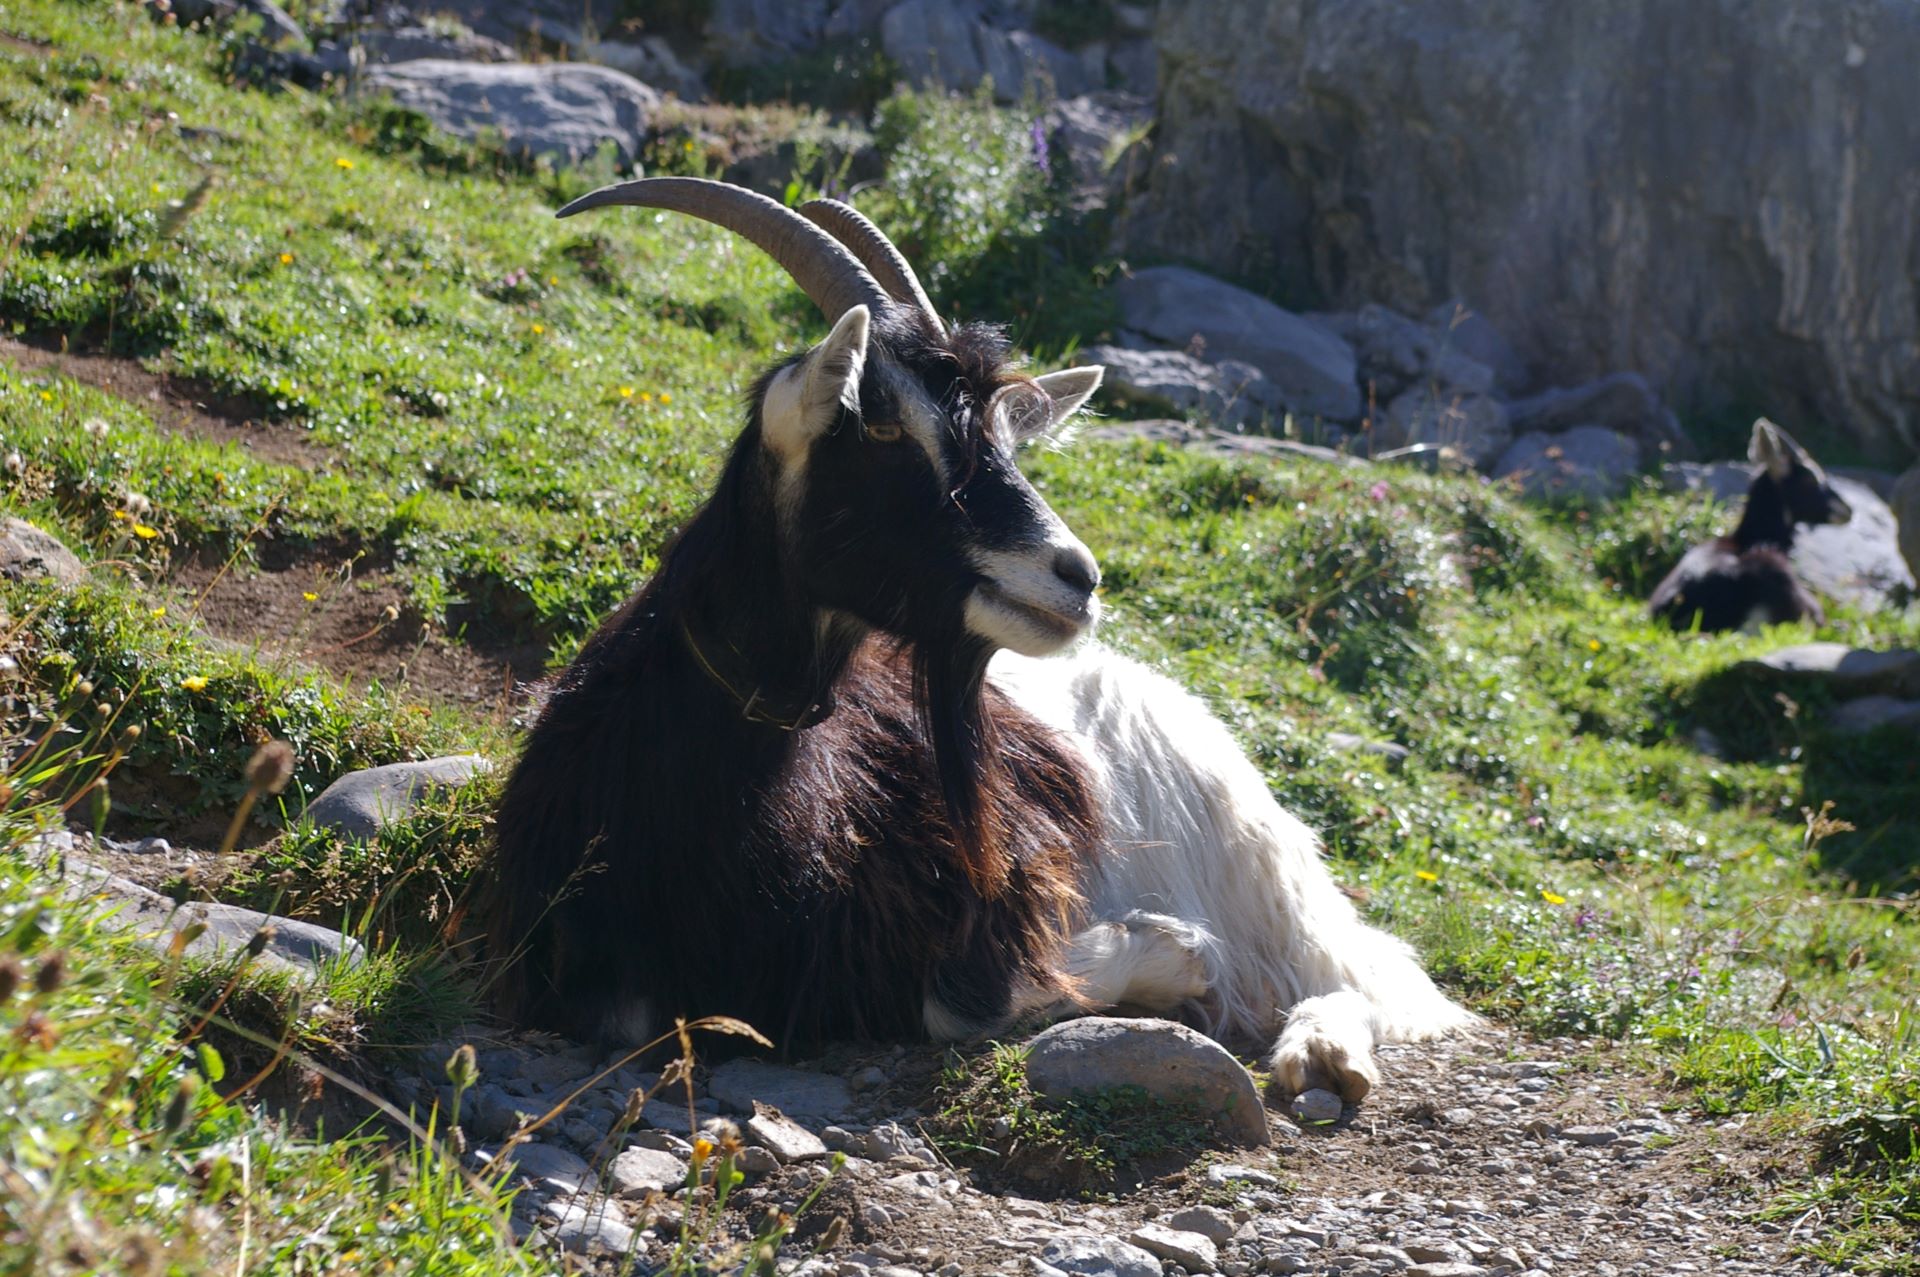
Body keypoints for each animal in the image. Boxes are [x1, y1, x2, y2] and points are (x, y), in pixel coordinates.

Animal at [480, 176, 1466, 1098]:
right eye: (882, 424)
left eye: (1004, 442)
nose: (1079, 576)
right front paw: (1170, 957)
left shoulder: (1004, 870)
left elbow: (965, 996)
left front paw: (1170, 949)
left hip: (1246, 852)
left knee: (1348, 968)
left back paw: (1322, 1047)